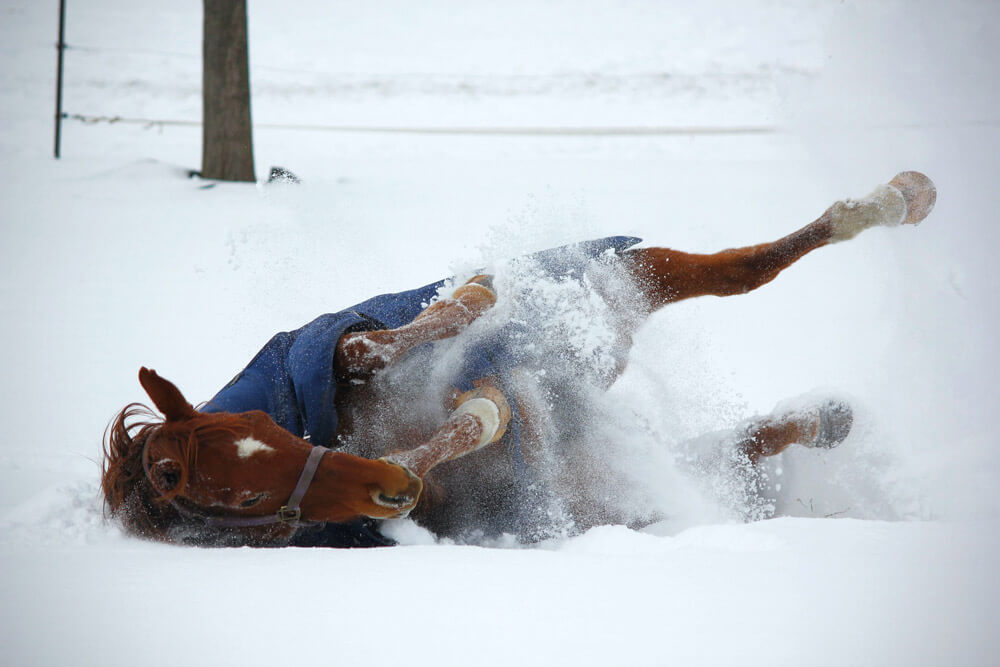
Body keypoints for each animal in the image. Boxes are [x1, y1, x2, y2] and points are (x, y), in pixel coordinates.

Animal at [101, 172, 936, 548]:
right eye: (240, 497)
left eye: (264, 429)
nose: (384, 489)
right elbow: (478, 417)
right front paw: (422, 454)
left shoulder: (338, 352)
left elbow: (377, 341)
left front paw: (474, 293)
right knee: (732, 426)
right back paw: (825, 416)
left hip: (624, 275)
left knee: (748, 267)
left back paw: (898, 200)